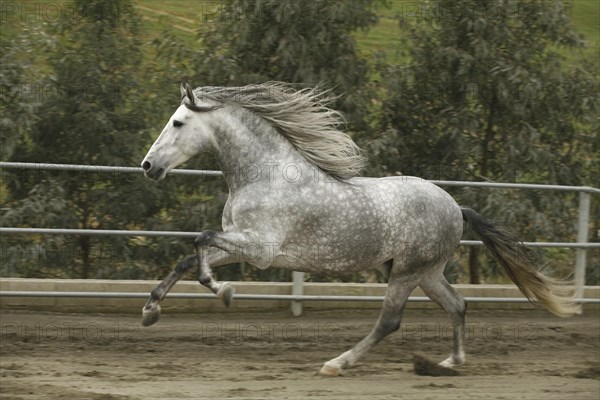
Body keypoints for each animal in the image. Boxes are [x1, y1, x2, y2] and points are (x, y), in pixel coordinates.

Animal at [139, 81, 576, 376]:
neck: (266, 176)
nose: (148, 166)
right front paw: (149, 312)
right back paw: (451, 361)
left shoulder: (260, 249)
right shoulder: (242, 243)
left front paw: (224, 292)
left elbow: (200, 242)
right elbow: (187, 260)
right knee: (458, 305)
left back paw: (337, 363)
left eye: (177, 122)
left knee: (390, 321)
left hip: (407, 272)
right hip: (423, 271)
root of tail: (455, 206)